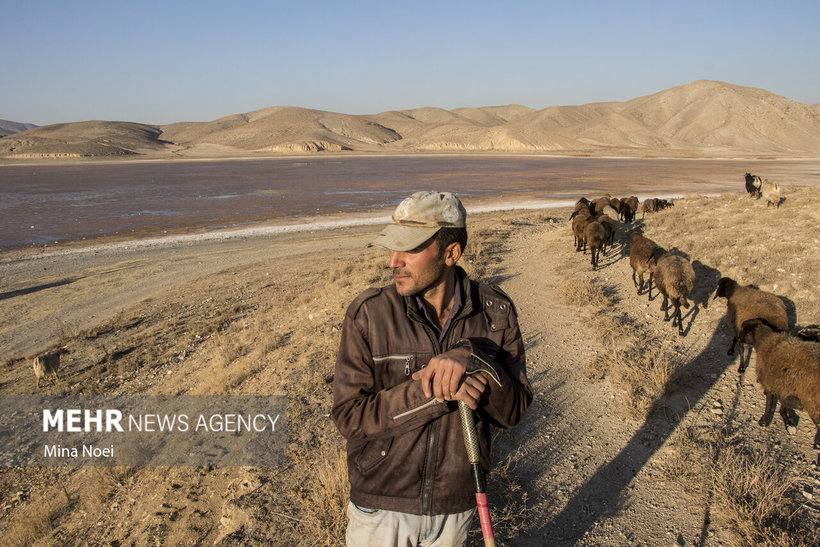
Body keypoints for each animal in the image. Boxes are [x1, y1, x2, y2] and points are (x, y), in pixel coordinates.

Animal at [736, 316, 820, 466]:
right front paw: (789, 424)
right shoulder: (787, 390)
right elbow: (783, 407)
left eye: (744, 330)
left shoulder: (772, 385)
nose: (738, 339)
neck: (766, 340)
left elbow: (769, 406)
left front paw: (764, 422)